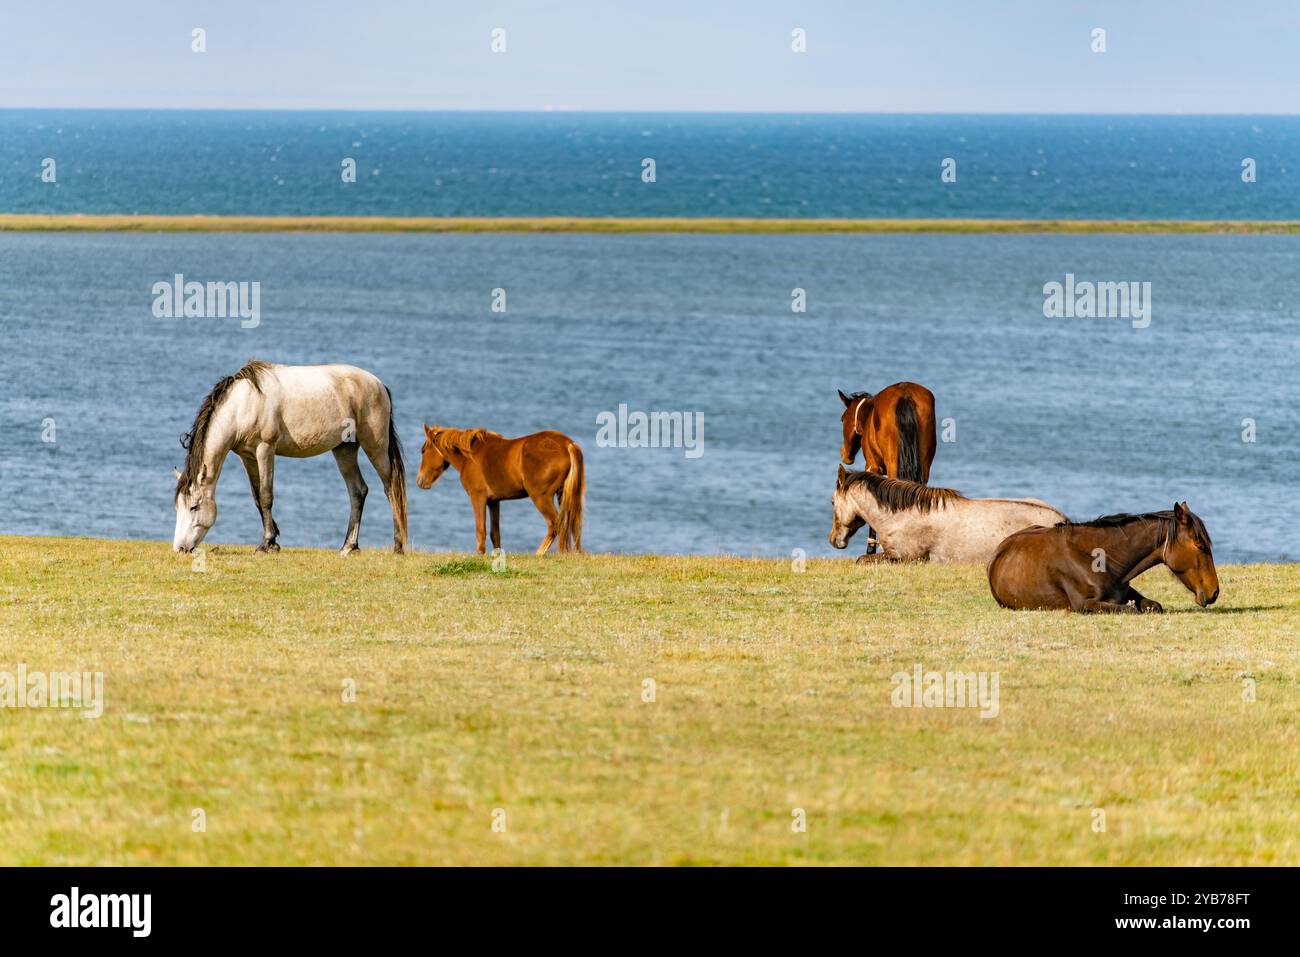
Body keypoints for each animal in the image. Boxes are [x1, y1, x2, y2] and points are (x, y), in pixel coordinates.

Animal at [172, 360, 408, 555]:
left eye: (194, 507)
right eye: (177, 507)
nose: (180, 548)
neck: (244, 403)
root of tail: (379, 384)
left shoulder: (265, 449)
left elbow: (266, 495)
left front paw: (266, 544)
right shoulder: (247, 457)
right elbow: (257, 498)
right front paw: (273, 541)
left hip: (375, 446)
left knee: (390, 489)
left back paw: (397, 546)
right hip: (344, 450)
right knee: (358, 491)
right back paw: (349, 546)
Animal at [416, 425, 585, 555]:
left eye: (423, 450)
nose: (420, 481)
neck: (470, 456)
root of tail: (567, 444)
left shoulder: (477, 497)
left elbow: (481, 530)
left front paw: (480, 554)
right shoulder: (494, 501)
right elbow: (494, 533)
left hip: (541, 497)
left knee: (555, 524)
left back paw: (539, 554)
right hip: (562, 494)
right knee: (570, 524)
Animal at [838, 382, 938, 554]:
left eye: (842, 419)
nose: (845, 454)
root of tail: (905, 394)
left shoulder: (873, 467)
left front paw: (871, 548)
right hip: (924, 464)